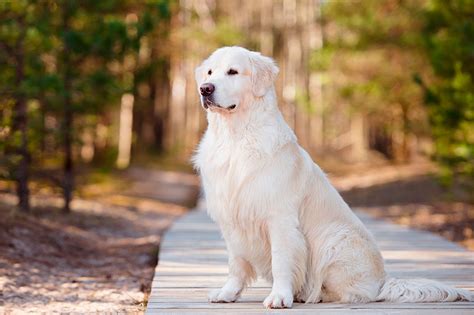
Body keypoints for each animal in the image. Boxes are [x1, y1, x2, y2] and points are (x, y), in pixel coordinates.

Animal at [192, 46, 470, 308]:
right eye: (209, 73)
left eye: (233, 72)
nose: (205, 89)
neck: (235, 138)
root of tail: (384, 280)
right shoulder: (232, 219)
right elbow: (236, 264)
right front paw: (227, 293)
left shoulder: (279, 218)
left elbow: (281, 260)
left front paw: (280, 296)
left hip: (334, 239)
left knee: (357, 293)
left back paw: (314, 295)